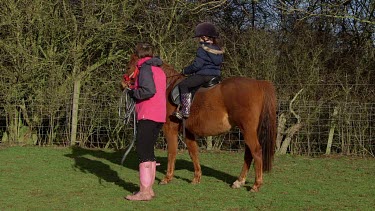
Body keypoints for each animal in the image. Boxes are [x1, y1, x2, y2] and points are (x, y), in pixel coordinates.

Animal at [122, 54, 278, 191]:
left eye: (129, 66)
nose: (123, 83)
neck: (168, 86)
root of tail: (258, 83)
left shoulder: (170, 128)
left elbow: (172, 151)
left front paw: (167, 178)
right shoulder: (188, 131)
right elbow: (193, 152)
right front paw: (196, 178)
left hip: (248, 130)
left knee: (256, 151)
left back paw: (256, 185)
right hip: (247, 130)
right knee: (248, 153)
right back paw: (239, 181)